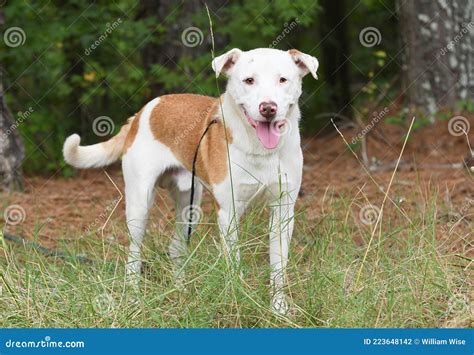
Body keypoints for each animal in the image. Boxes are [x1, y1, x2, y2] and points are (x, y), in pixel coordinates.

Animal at [63, 48, 318, 314]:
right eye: (249, 80)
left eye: (283, 80)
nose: (268, 108)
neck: (259, 149)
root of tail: (142, 112)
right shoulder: (228, 212)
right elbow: (233, 261)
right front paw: (237, 301)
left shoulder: (283, 210)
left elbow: (278, 267)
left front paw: (279, 309)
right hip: (139, 204)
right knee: (133, 254)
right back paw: (133, 298)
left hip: (190, 206)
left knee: (176, 247)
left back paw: (180, 291)